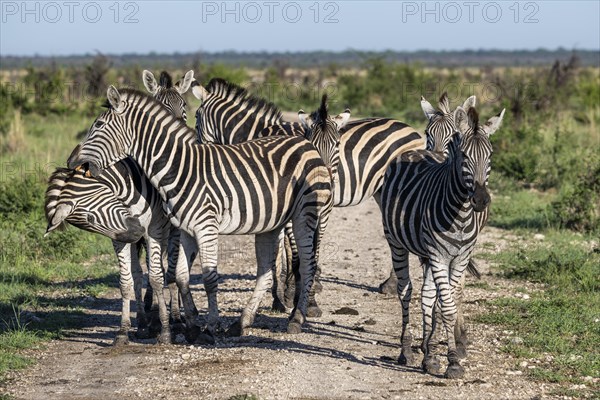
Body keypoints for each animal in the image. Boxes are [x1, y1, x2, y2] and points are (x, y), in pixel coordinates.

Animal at [44, 69, 195, 344]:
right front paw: (127, 329)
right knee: (145, 271)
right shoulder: (120, 235)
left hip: (170, 231)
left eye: (185, 107)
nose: (71, 161)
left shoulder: (153, 229)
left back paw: (177, 317)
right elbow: (128, 280)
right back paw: (147, 318)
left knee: (171, 270)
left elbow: (158, 276)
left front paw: (165, 328)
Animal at [68, 86, 336, 340]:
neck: (179, 168)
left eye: (98, 125)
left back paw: (296, 319)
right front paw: (191, 326)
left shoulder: (206, 227)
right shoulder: (185, 229)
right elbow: (181, 276)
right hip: (271, 223)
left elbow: (209, 278)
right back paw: (242, 322)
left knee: (307, 264)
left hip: (304, 214)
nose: (71, 161)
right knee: (266, 273)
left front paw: (210, 327)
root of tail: (305, 143)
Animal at [193, 76, 426, 310]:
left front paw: (289, 292)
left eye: (195, 117)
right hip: (381, 192)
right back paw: (391, 283)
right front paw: (286, 291)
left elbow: (288, 248)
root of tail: (414, 131)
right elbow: (285, 248)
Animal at [380, 104, 506, 378]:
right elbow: (446, 306)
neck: (460, 215)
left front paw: (442, 353)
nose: (481, 200)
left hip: (427, 254)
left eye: (490, 156)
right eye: (465, 156)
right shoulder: (438, 256)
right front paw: (453, 362)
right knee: (406, 291)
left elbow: (449, 298)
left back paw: (427, 353)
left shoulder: (459, 257)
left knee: (427, 295)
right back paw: (406, 349)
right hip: (396, 243)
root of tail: (415, 152)